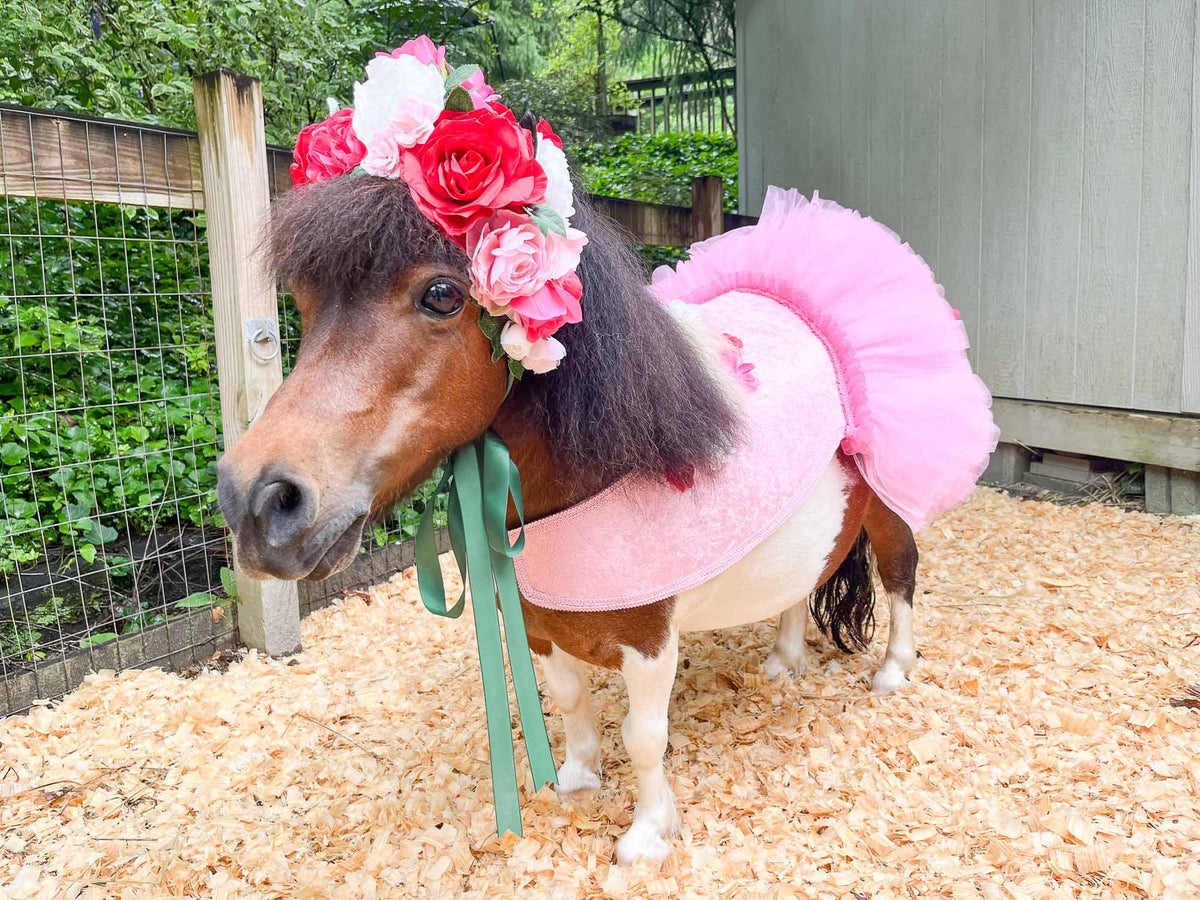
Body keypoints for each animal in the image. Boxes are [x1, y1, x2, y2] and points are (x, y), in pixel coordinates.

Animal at [217, 172, 992, 865]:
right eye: (303, 301)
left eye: (441, 295)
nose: (257, 500)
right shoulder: (541, 625)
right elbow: (568, 703)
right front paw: (578, 779)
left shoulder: (649, 642)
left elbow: (645, 738)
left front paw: (648, 835)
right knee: (801, 583)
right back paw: (783, 660)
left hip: (891, 508)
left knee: (900, 576)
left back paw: (893, 670)